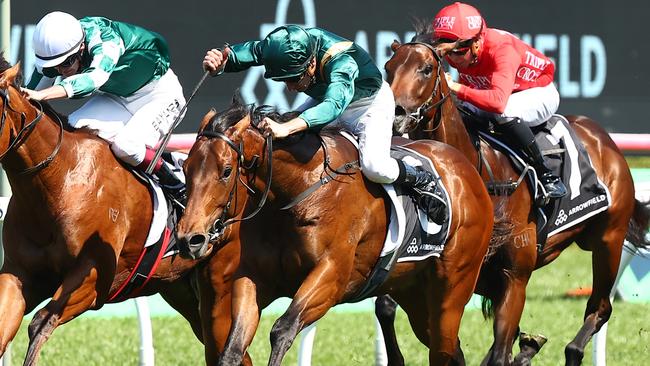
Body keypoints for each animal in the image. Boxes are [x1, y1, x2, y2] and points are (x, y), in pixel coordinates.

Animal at [0, 58, 243, 364]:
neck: (61, 179)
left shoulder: (94, 278)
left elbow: (40, 323)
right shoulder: (20, 274)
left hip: (222, 291)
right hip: (181, 290)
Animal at [176, 96, 506, 366]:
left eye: (226, 171)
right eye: (186, 166)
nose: (190, 239)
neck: (298, 190)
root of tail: (467, 170)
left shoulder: (332, 275)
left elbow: (282, 329)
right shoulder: (253, 278)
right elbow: (232, 348)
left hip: (453, 287)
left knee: (443, 349)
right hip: (413, 292)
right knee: (452, 351)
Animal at [380, 23, 648, 366]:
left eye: (426, 69)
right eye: (388, 69)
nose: (394, 114)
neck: (481, 172)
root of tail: (603, 138)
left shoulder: (513, 276)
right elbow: (388, 308)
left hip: (608, 239)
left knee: (599, 308)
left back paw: (570, 350)